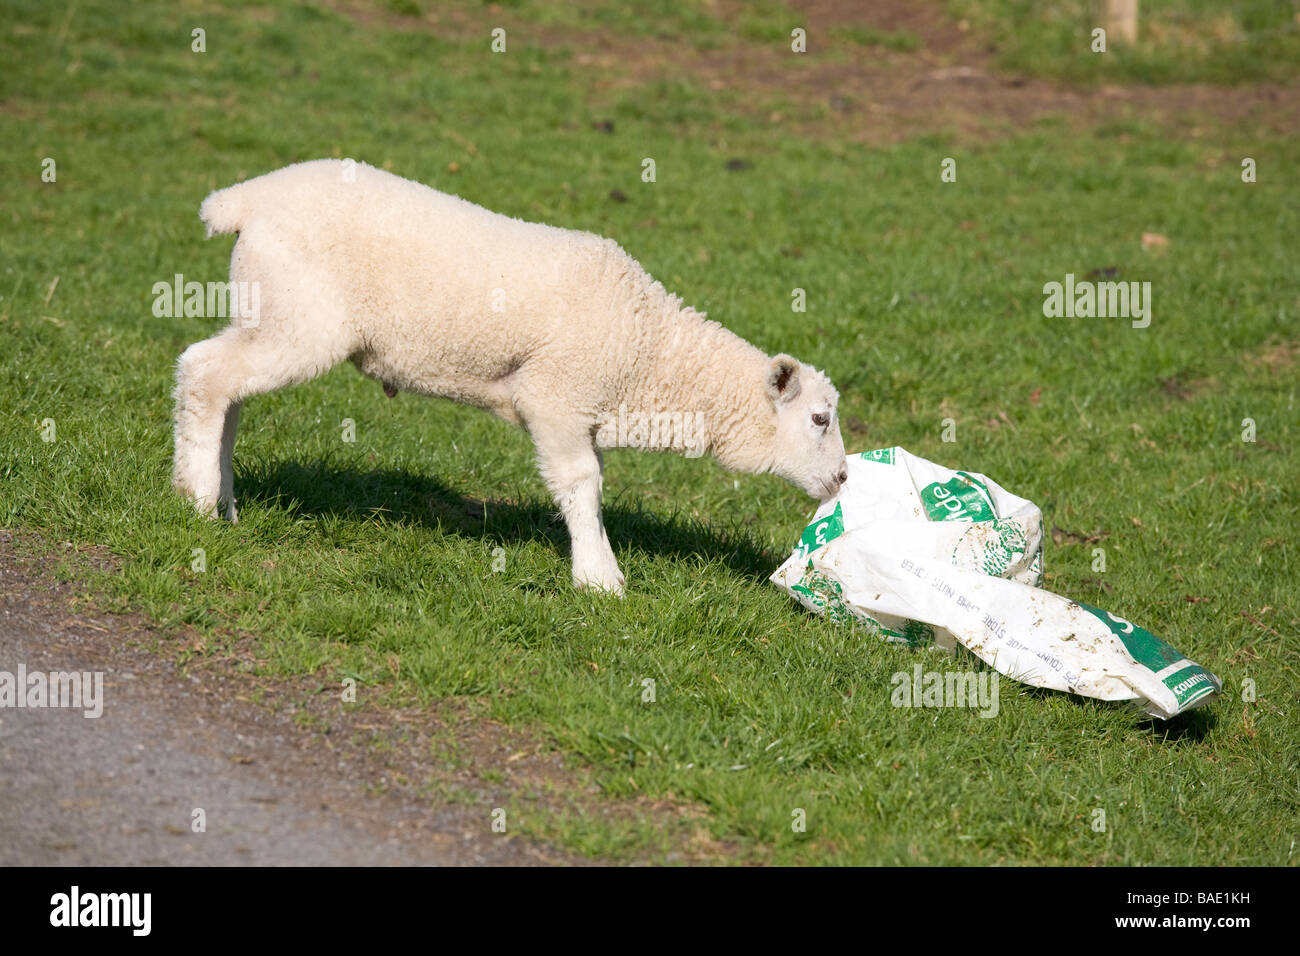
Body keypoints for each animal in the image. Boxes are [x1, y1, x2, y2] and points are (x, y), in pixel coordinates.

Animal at [173, 159, 848, 594]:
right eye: (819, 419)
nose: (843, 478)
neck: (648, 352)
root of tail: (245, 201)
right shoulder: (556, 396)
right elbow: (581, 483)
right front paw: (599, 578)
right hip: (299, 318)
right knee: (204, 373)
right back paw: (197, 500)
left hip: (267, 310)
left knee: (229, 392)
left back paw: (224, 499)